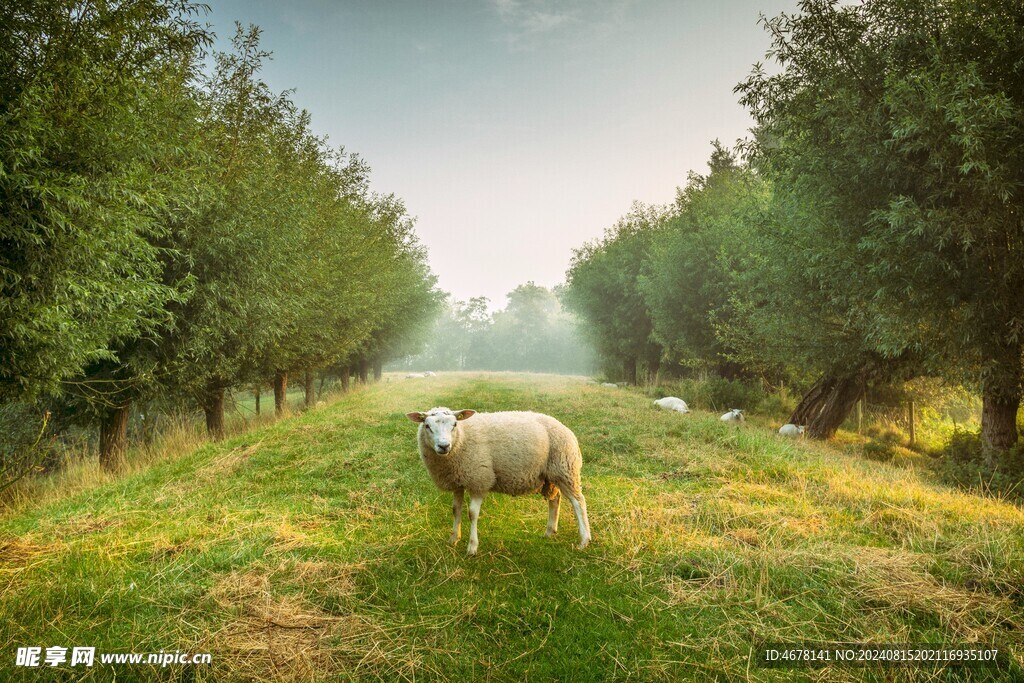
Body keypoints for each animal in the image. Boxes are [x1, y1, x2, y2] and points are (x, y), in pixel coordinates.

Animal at [403, 405, 589, 557]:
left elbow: (472, 514)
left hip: (565, 468)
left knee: (579, 502)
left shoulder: (479, 479)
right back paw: (550, 532)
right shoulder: (458, 481)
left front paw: (472, 547)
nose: (444, 446)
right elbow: (456, 510)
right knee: (555, 499)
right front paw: (453, 539)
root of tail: (564, 427)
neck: (462, 438)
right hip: (549, 476)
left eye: (454, 424)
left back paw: (584, 540)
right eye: (427, 426)